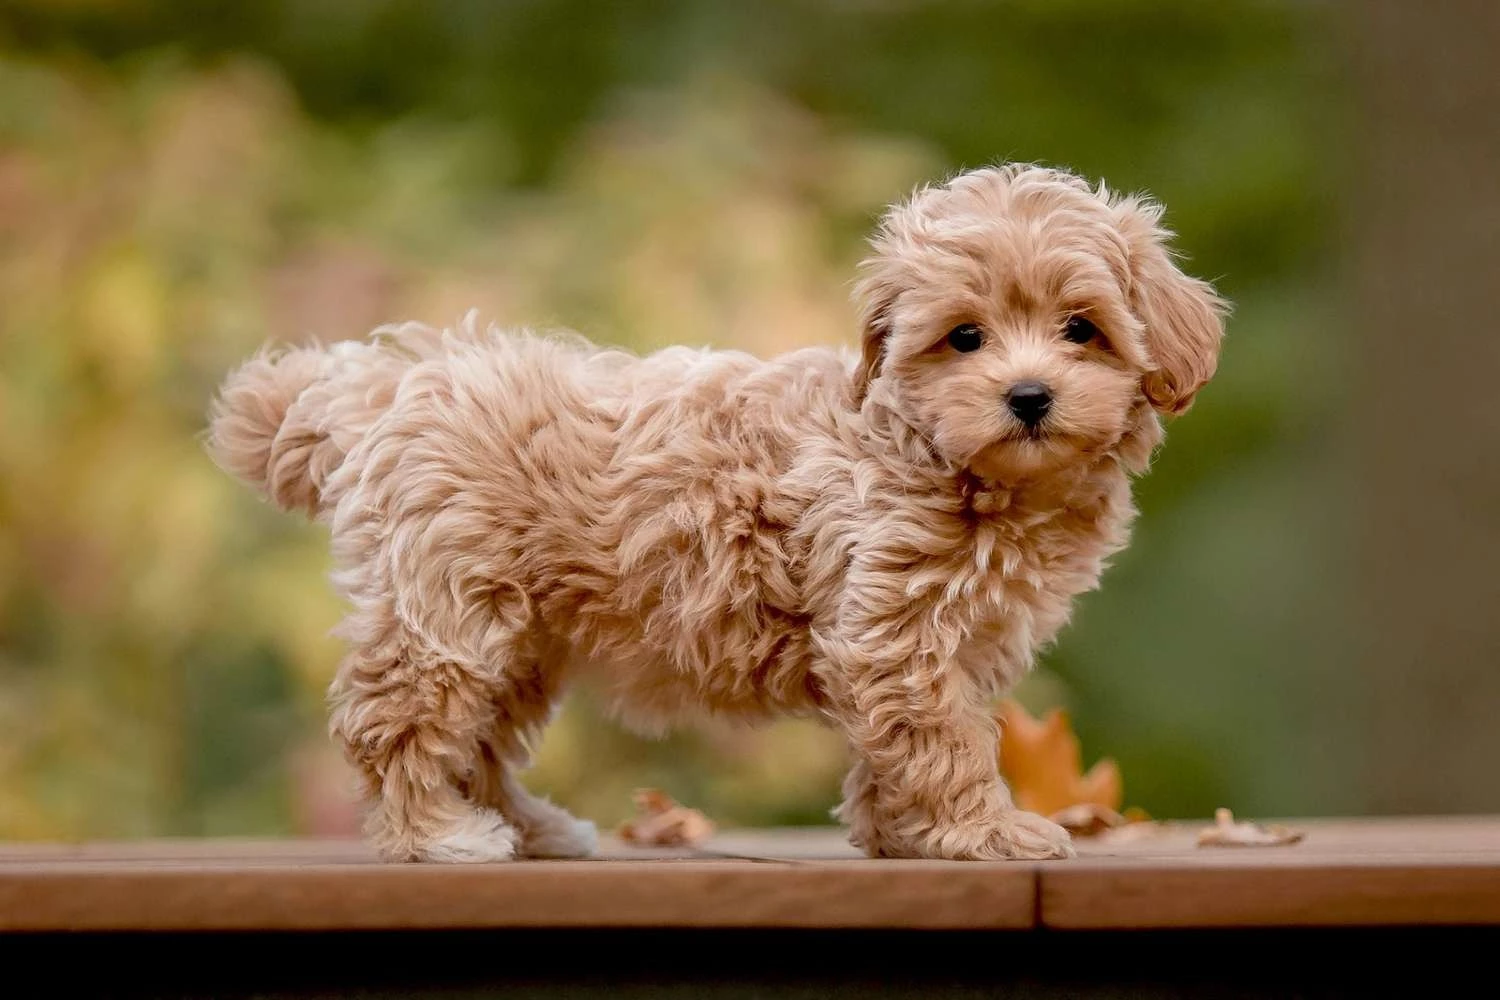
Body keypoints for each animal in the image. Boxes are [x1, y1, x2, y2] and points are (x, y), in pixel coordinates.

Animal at [208, 162, 1218, 863]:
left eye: (1081, 329)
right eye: (965, 337)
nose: (1029, 396)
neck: (939, 455)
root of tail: (377, 387)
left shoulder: (944, 643)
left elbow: (901, 742)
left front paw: (900, 835)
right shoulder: (894, 628)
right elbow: (942, 741)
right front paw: (983, 833)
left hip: (521, 636)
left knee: (482, 741)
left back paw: (528, 830)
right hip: (450, 613)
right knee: (398, 723)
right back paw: (437, 836)